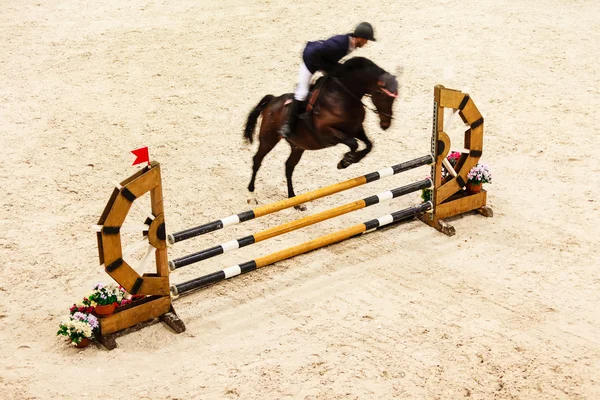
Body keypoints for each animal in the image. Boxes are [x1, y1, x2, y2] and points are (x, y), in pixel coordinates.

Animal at [241, 58, 400, 212]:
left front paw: (349, 160)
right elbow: (353, 143)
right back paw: (251, 190)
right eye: (380, 93)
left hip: (298, 146)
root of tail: (273, 100)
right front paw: (345, 161)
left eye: (394, 98)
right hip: (269, 138)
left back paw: (295, 201)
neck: (343, 96)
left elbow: (368, 145)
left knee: (288, 167)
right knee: (258, 159)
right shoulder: (327, 133)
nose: (386, 123)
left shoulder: (356, 129)